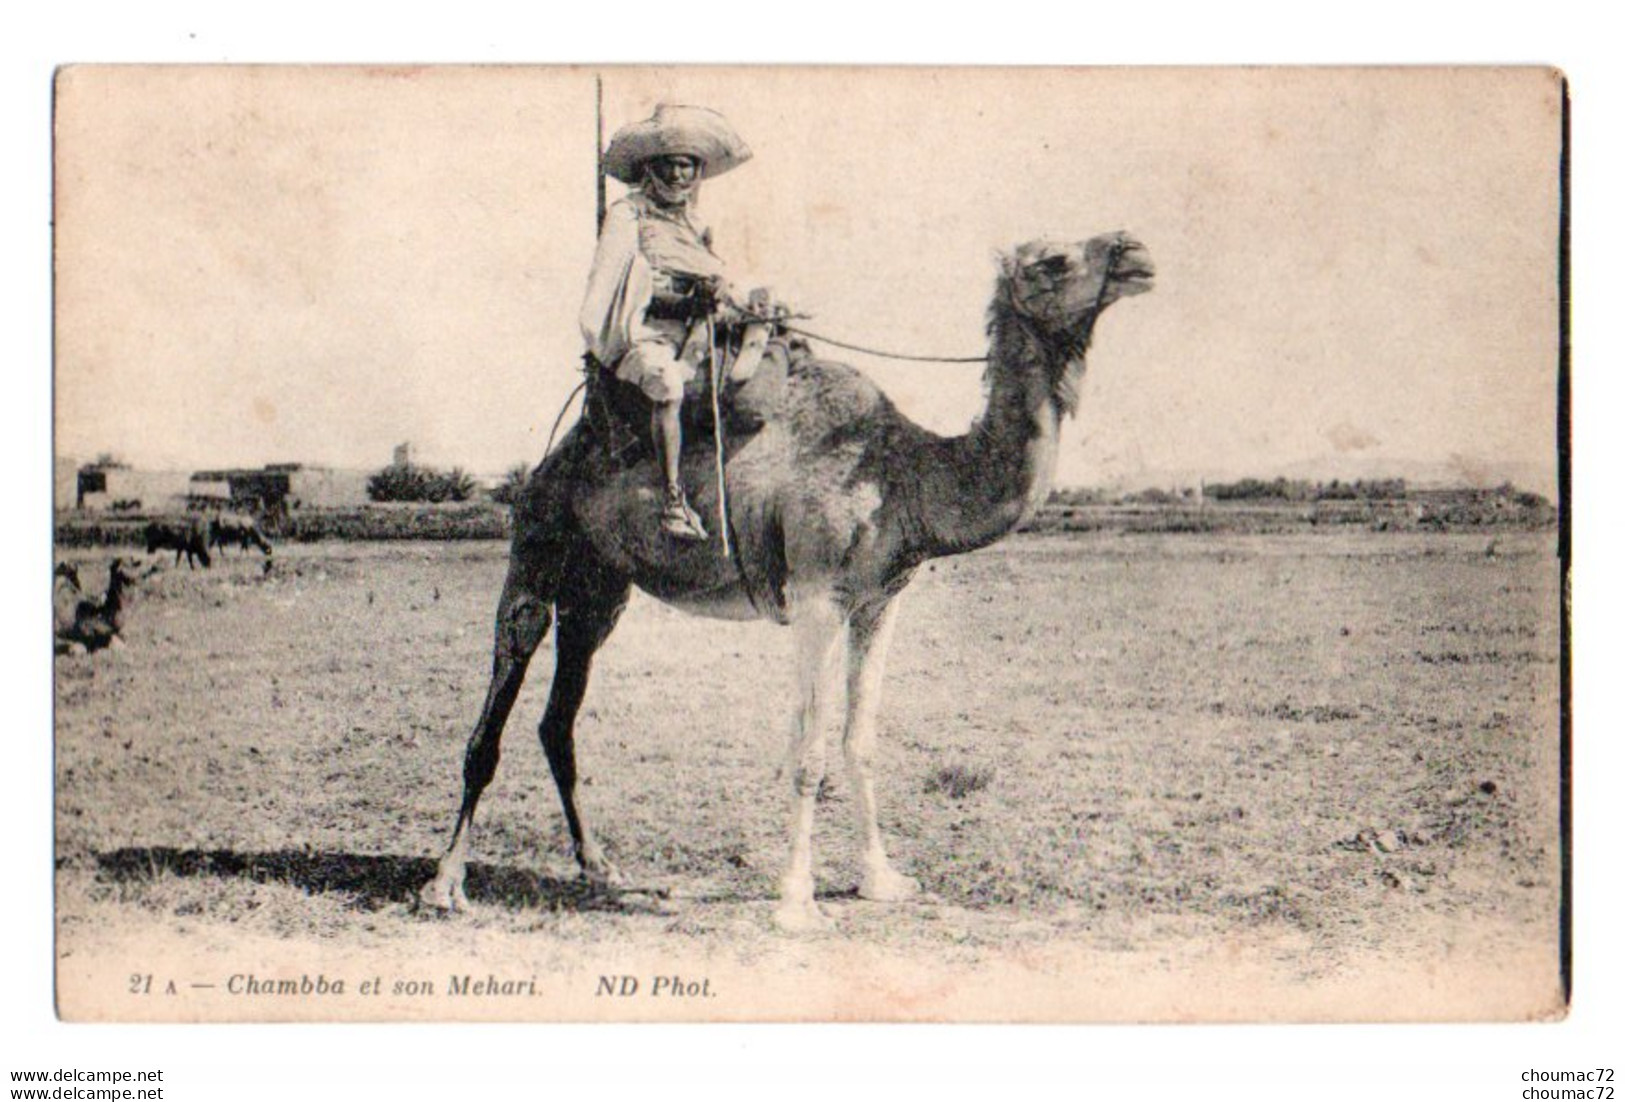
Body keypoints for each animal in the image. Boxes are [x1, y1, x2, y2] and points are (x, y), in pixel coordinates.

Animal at [422, 232, 1157, 929]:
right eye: (1054, 260)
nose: (1136, 253)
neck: (906, 473)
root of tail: (552, 459)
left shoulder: (878, 601)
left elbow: (859, 741)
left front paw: (881, 880)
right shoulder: (815, 595)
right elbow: (807, 750)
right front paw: (797, 901)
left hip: (599, 590)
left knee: (559, 719)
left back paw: (600, 866)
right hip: (537, 550)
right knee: (498, 704)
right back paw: (446, 885)